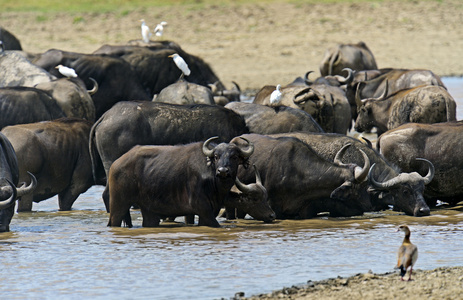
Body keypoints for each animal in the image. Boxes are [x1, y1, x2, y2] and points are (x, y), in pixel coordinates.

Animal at [109, 137, 260, 227]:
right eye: (216, 156)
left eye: (234, 157)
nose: (223, 171)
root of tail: (116, 163)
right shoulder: (201, 207)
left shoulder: (212, 208)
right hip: (119, 204)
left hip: (147, 208)